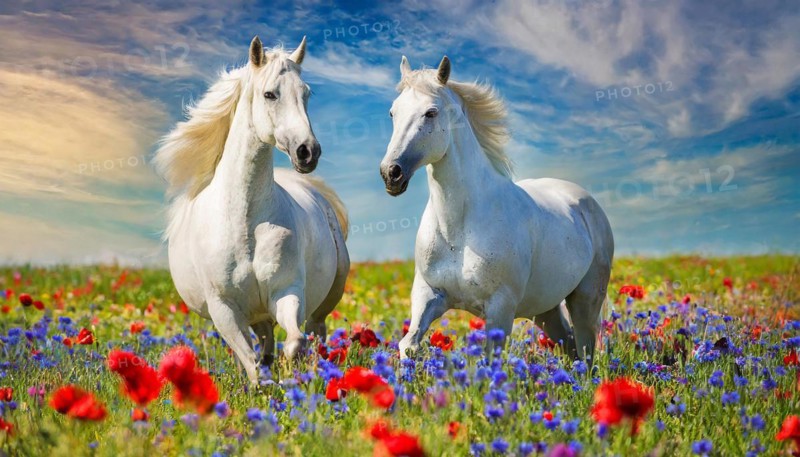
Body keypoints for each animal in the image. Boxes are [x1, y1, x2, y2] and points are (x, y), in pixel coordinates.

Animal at [154, 36, 350, 382]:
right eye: (270, 94)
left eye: (306, 93)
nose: (307, 152)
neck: (244, 222)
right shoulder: (225, 310)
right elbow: (251, 361)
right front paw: (264, 385)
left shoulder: (286, 292)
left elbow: (294, 342)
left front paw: (289, 374)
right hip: (252, 315)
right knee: (261, 342)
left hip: (324, 299)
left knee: (315, 333)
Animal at [380, 55, 614, 364]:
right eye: (393, 113)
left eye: (431, 112)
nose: (390, 174)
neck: (458, 229)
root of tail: (586, 201)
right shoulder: (428, 294)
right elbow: (409, 344)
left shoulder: (500, 308)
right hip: (545, 309)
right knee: (571, 346)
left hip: (585, 299)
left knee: (586, 351)